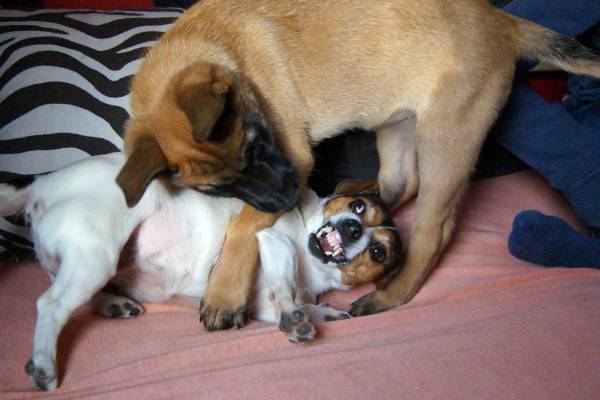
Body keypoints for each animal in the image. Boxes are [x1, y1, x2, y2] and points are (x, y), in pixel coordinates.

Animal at [0, 153, 402, 391]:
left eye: (378, 252)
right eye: (358, 206)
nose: (352, 229)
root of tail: (39, 184)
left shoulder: (259, 305)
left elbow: (290, 305)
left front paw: (319, 314)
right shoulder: (272, 242)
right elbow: (283, 286)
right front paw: (297, 313)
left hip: (83, 262)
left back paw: (114, 304)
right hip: (96, 255)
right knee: (51, 303)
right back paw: (44, 364)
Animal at [114, 0, 600, 329]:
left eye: (259, 142)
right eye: (216, 189)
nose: (290, 200)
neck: (218, 48)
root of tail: (503, 22)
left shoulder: (296, 158)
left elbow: (244, 224)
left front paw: (224, 292)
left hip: (447, 141)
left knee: (432, 233)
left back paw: (389, 294)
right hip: (399, 130)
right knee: (397, 188)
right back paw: (362, 209)